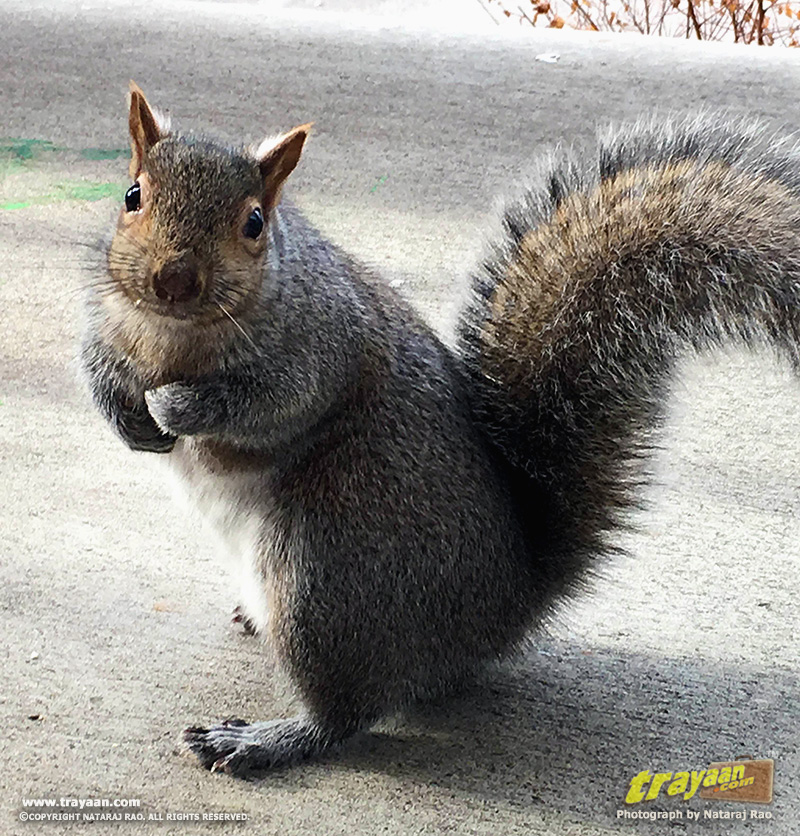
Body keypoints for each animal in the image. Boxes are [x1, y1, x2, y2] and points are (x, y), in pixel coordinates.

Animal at [80, 83, 800, 776]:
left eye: (254, 223)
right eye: (132, 195)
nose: (174, 279)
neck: (177, 335)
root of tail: (509, 608)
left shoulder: (322, 348)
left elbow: (274, 403)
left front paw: (179, 408)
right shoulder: (107, 319)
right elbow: (94, 364)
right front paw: (123, 412)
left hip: (325, 580)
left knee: (342, 715)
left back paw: (265, 739)